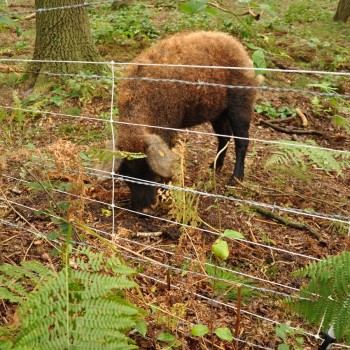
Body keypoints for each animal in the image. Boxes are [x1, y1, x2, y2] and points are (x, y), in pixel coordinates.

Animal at [95, 30, 262, 211]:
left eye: (150, 172)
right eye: (126, 174)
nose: (143, 210)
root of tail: (239, 48)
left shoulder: (169, 125)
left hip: (241, 102)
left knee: (243, 139)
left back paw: (235, 179)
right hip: (217, 112)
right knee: (224, 135)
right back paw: (213, 167)